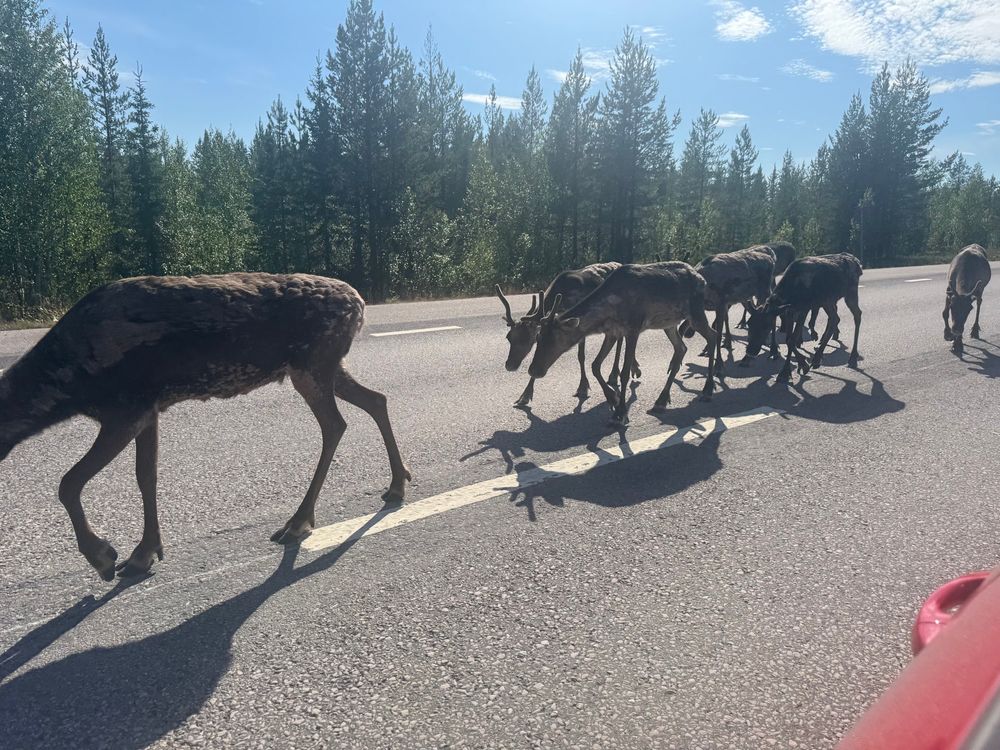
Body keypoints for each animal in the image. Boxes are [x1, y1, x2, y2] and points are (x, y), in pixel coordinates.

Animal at [0, 273, 410, 582]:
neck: (66, 385)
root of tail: (359, 304)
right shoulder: (148, 411)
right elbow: (145, 476)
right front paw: (145, 552)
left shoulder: (125, 410)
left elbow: (68, 483)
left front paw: (104, 556)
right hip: (324, 366)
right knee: (376, 399)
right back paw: (396, 485)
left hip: (312, 365)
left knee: (336, 424)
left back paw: (298, 522)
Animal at [496, 262, 640, 407]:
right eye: (509, 337)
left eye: (528, 339)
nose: (509, 365)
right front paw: (525, 395)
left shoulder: (581, 326)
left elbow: (581, 356)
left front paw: (582, 387)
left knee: (620, 340)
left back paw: (616, 374)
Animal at [527, 261, 718, 426]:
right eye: (538, 337)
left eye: (554, 339)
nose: (533, 370)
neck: (607, 311)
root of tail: (702, 279)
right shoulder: (612, 332)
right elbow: (595, 365)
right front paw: (613, 398)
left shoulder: (633, 329)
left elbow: (625, 373)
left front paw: (620, 413)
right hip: (669, 324)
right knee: (681, 348)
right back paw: (661, 401)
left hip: (695, 312)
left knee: (713, 335)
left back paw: (708, 390)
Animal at [744, 253, 863, 382]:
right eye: (749, 323)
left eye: (767, 326)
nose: (750, 351)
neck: (790, 293)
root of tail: (857, 262)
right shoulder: (790, 312)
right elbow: (789, 340)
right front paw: (800, 365)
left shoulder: (803, 309)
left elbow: (792, 340)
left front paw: (786, 372)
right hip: (827, 300)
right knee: (835, 319)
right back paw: (818, 354)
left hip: (849, 293)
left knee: (856, 315)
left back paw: (852, 355)